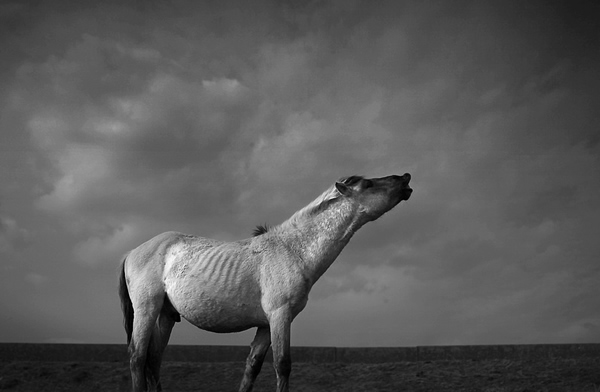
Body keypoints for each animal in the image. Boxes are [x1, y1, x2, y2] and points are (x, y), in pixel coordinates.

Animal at [120, 174, 414, 392]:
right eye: (368, 184)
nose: (405, 178)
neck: (293, 250)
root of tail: (132, 251)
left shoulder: (264, 324)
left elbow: (252, 367)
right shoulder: (280, 316)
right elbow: (283, 365)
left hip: (166, 315)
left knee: (153, 360)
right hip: (147, 309)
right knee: (137, 356)